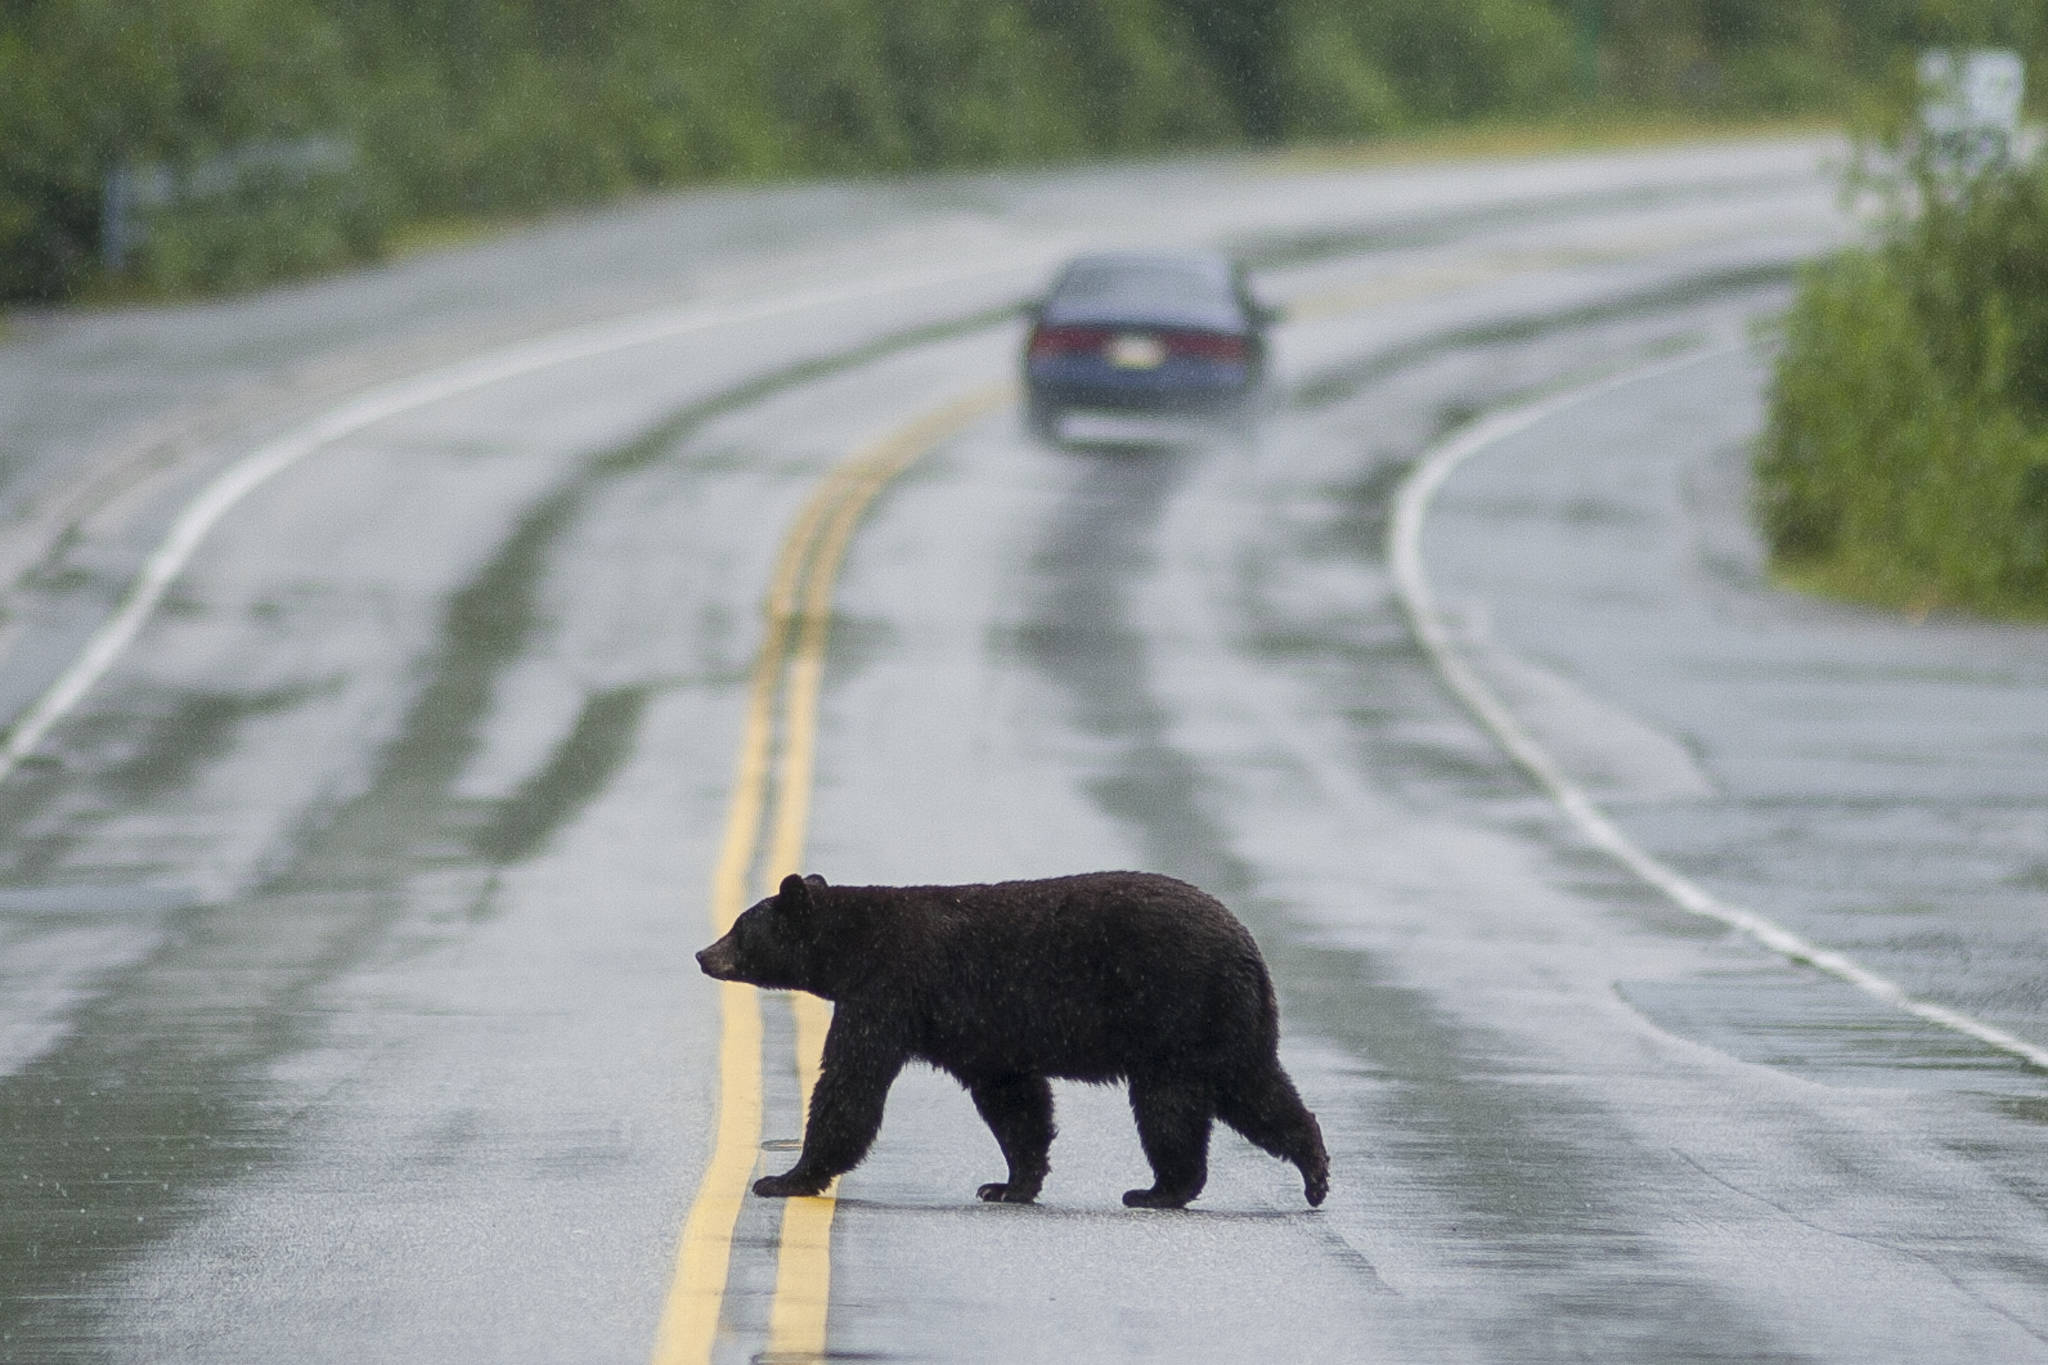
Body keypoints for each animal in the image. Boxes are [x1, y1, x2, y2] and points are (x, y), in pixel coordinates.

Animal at [696, 871, 1327, 1211]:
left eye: (740, 926)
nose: (703, 954)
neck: (854, 945)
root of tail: (1247, 945)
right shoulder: (981, 1032)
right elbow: (1013, 1100)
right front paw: (1009, 1184)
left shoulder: (890, 991)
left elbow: (851, 1083)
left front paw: (784, 1178)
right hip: (1218, 1026)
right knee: (1255, 1089)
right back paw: (1314, 1169)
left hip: (1177, 1016)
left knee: (1174, 1108)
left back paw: (1158, 1190)